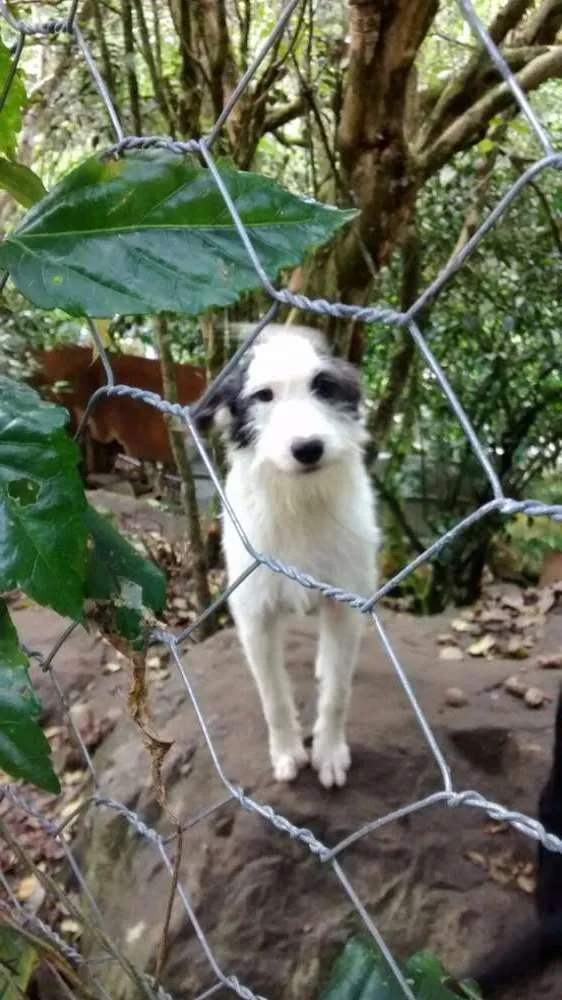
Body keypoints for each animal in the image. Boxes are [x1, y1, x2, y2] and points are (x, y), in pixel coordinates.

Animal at [195, 326, 378, 788]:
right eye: (263, 396)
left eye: (323, 386)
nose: (308, 448)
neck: (299, 500)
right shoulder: (254, 615)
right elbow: (273, 696)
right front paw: (286, 751)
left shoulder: (346, 605)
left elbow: (337, 692)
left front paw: (329, 752)